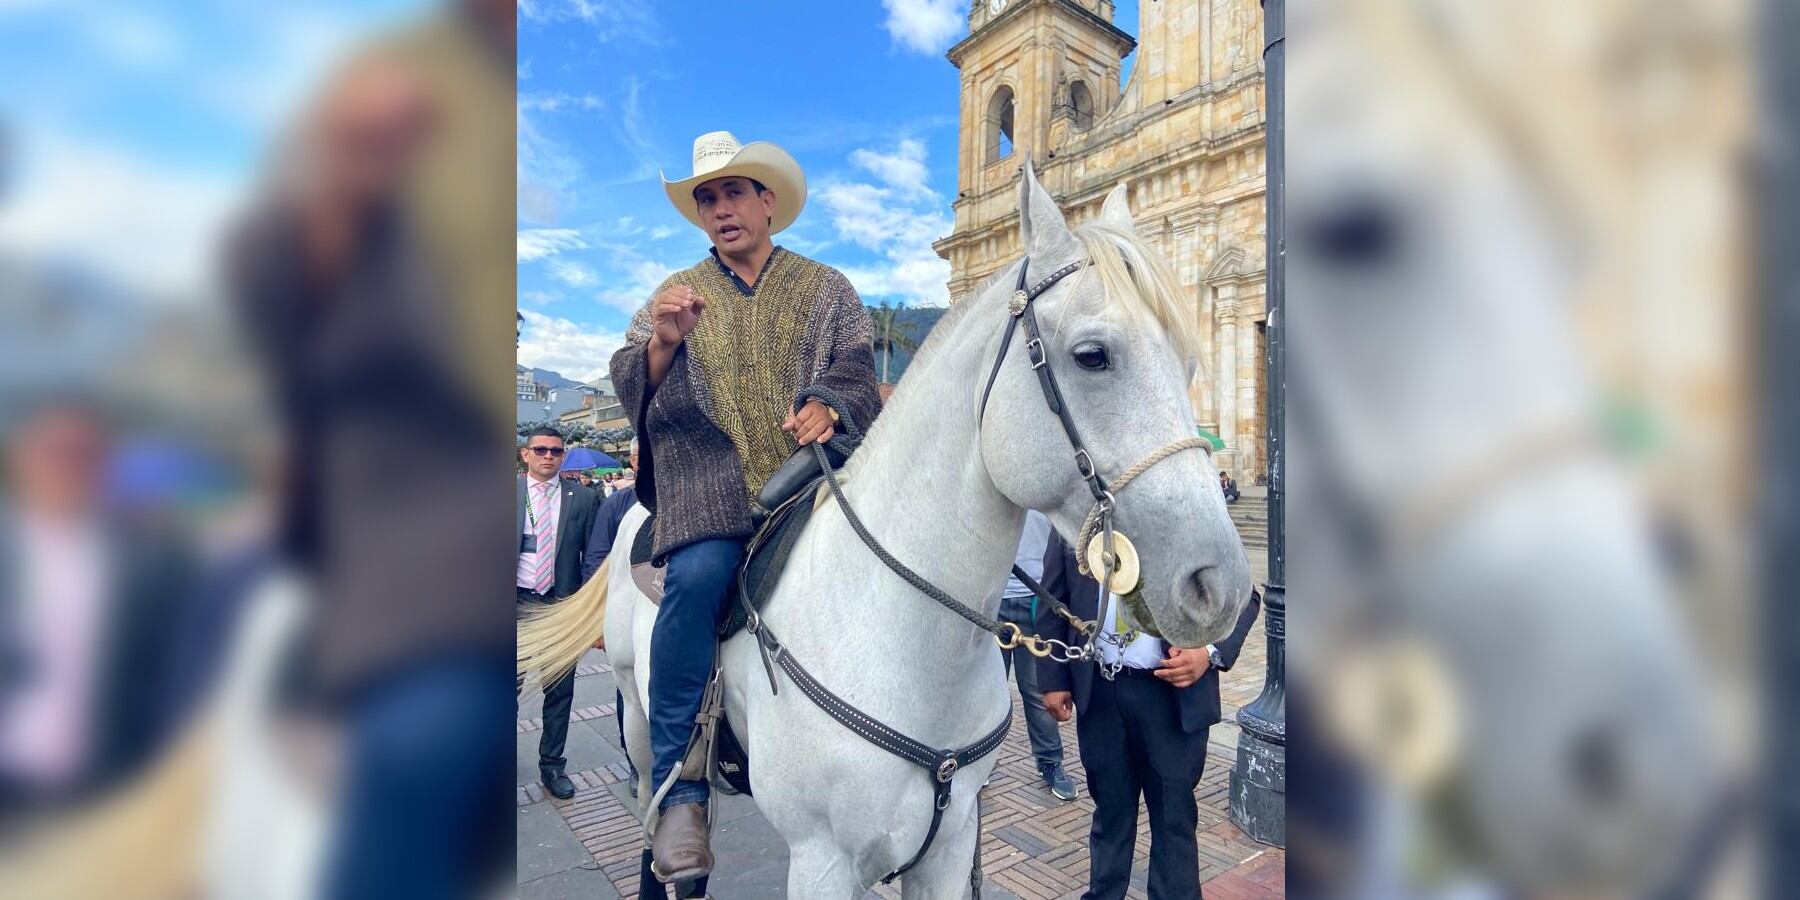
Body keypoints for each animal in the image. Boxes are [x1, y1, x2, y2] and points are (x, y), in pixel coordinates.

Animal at [519, 162, 1254, 897]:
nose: (1217, 584)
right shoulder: (821, 860)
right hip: (639, 717)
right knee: (661, 804)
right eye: (1093, 355)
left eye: (1191, 367)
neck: (907, 642)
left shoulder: (950, 847)